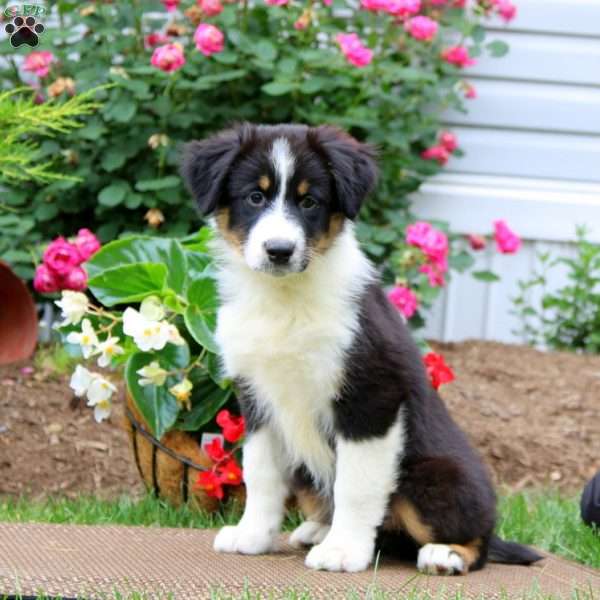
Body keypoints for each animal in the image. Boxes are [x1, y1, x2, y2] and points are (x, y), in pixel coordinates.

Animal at [180, 123, 540, 576]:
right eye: (255, 197)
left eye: (310, 201)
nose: (279, 251)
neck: (286, 299)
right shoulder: (257, 397)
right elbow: (260, 473)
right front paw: (252, 536)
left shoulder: (371, 397)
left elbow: (356, 483)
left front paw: (343, 551)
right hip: (306, 471)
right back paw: (316, 531)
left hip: (434, 474)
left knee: (479, 539)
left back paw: (447, 554)